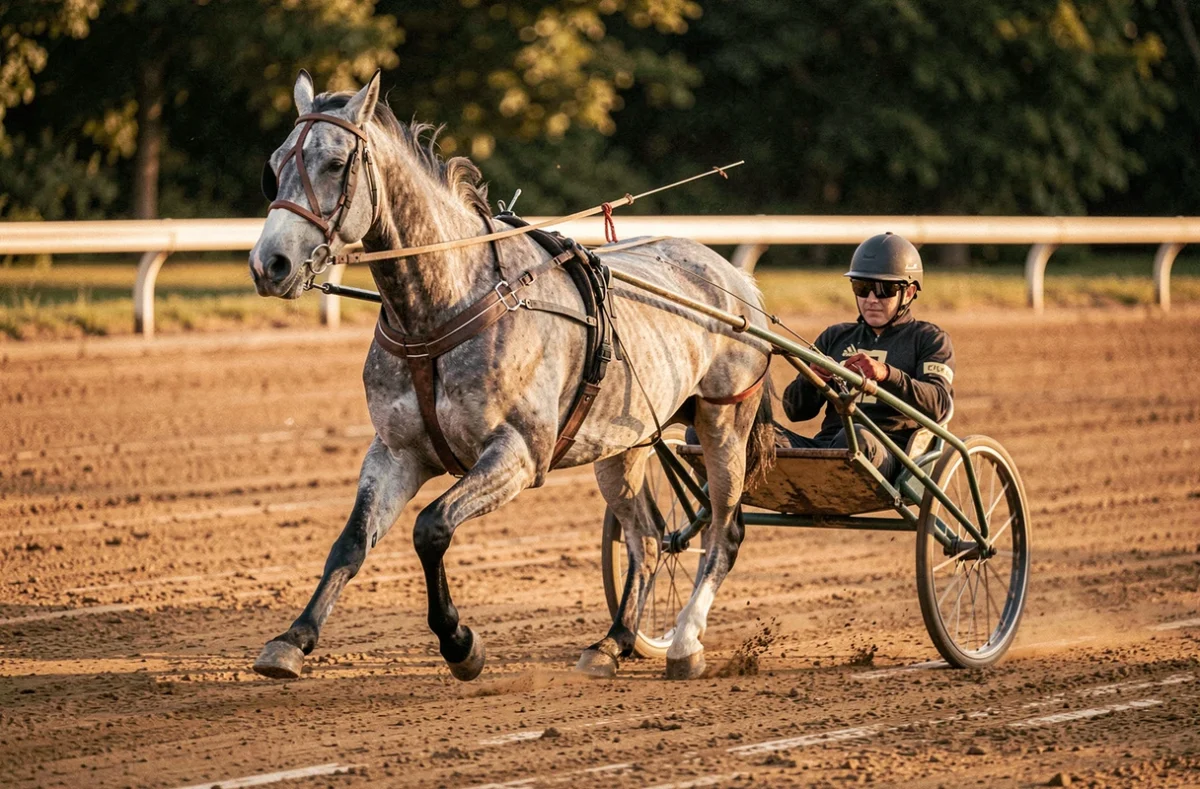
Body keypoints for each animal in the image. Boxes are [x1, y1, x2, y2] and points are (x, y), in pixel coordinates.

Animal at [248, 70, 774, 682]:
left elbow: (431, 527)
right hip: (627, 444)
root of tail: (734, 277)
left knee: (723, 530)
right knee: (645, 539)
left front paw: (460, 643)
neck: (446, 307)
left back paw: (686, 641)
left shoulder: (519, 454)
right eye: (275, 164)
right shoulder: (397, 451)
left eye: (335, 163)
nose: (269, 264)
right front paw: (293, 638)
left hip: (723, 421)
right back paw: (614, 641)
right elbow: (352, 542)